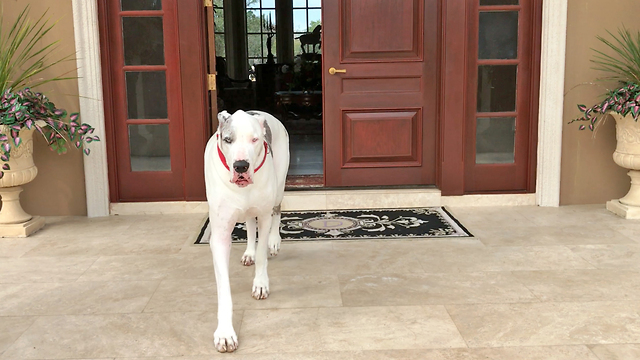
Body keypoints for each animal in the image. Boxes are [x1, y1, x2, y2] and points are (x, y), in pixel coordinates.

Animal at [204, 109, 288, 352]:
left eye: (254, 139)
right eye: (228, 139)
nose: (241, 166)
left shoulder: (264, 215)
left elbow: (262, 256)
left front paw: (260, 284)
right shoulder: (220, 235)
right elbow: (223, 288)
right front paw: (225, 333)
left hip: (278, 188)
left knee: (277, 210)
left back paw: (274, 241)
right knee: (250, 226)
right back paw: (249, 252)